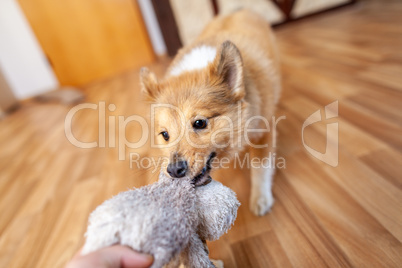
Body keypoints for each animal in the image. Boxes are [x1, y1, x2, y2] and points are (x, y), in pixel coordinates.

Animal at [140, 9, 282, 216]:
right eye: (164, 134)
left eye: (200, 123)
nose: (174, 171)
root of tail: (239, 9)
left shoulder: (263, 132)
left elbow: (260, 167)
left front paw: (261, 198)